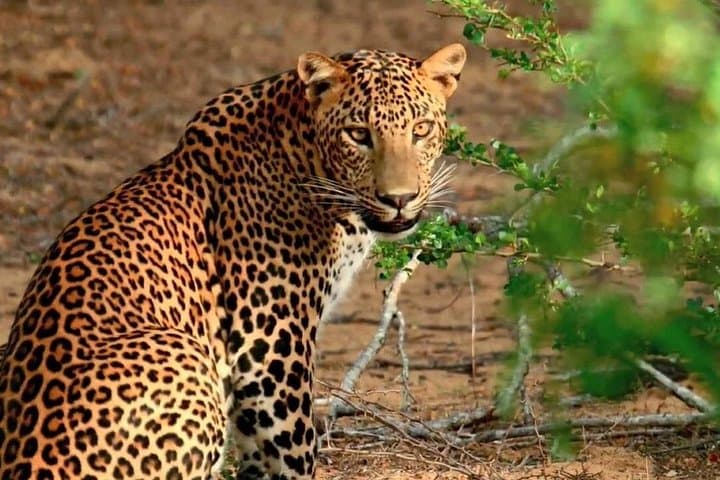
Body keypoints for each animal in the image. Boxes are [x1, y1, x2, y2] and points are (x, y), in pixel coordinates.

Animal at [0, 43, 466, 480]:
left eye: (421, 130)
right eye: (358, 134)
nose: (399, 198)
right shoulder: (269, 342)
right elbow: (294, 448)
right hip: (187, 360)